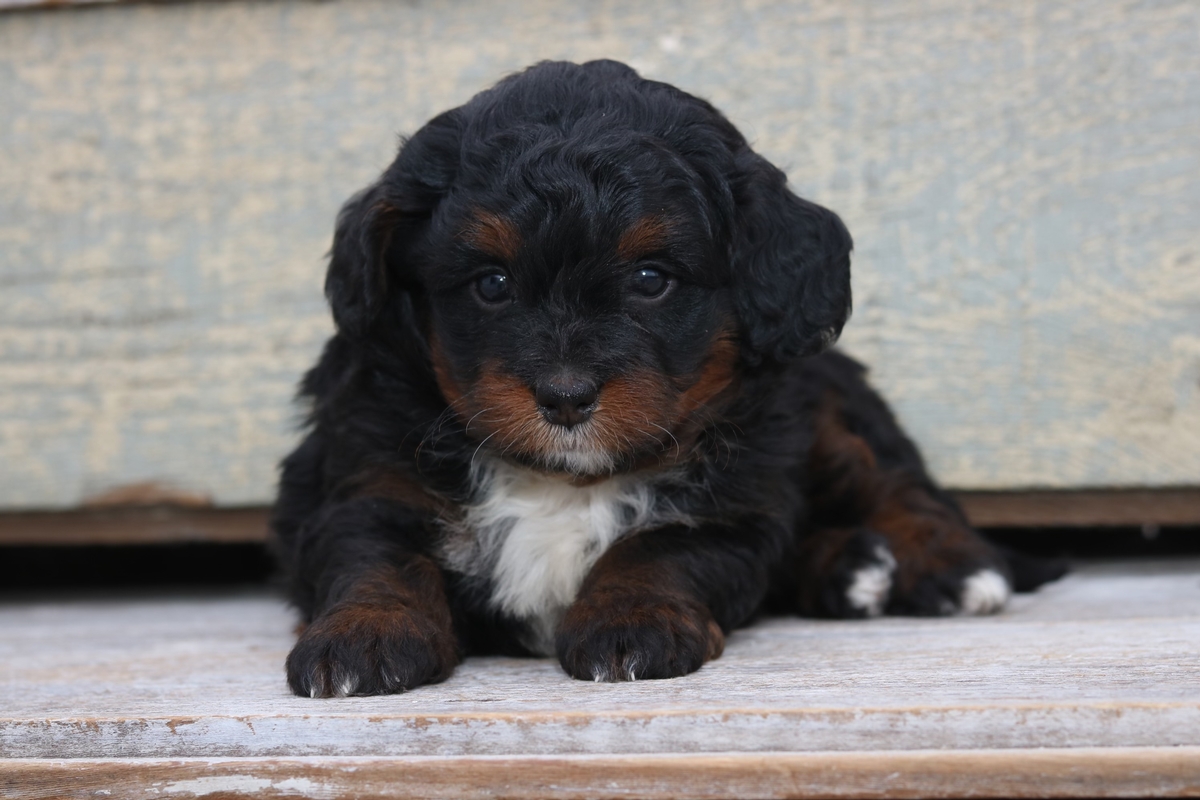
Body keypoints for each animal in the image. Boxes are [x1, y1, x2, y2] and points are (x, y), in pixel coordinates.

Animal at [270, 59, 1060, 695]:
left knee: (893, 485)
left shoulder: (732, 501)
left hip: (826, 417)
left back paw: (950, 568)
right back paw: (850, 569)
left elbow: (657, 545)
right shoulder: (367, 474)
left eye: (651, 280)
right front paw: (364, 635)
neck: (565, 481)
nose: (565, 397)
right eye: (490, 284)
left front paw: (630, 623)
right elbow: (375, 556)